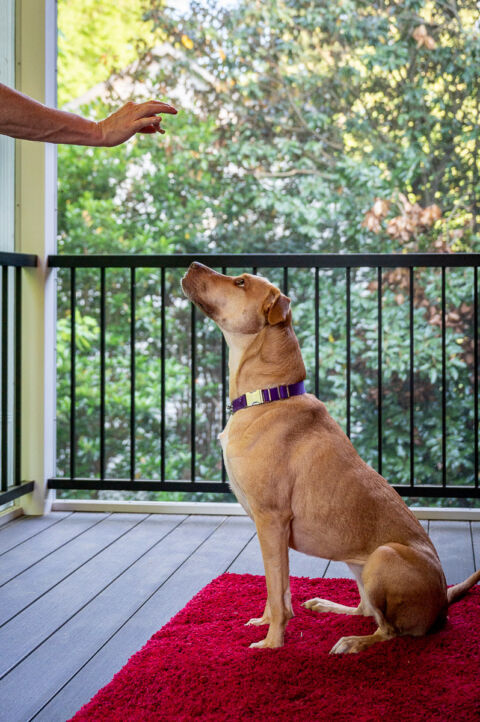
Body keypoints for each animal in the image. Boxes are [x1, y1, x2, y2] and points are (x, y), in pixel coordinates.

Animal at [182, 260, 478, 652]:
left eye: (240, 282)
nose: (192, 264)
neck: (270, 394)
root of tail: (442, 602)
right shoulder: (272, 533)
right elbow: (277, 589)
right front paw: (266, 622)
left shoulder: (272, 521)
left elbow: (277, 593)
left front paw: (272, 644)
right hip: (359, 568)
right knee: (367, 610)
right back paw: (328, 605)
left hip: (383, 557)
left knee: (388, 631)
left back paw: (352, 642)